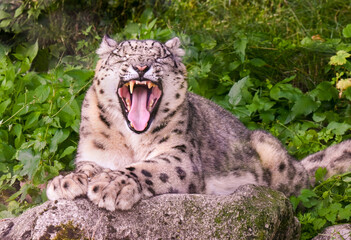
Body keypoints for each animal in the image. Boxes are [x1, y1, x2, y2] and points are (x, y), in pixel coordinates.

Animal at [46, 35, 351, 210]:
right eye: (123, 55)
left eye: (159, 56)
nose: (141, 66)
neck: (132, 139)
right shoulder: (94, 154)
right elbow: (87, 168)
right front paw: (66, 181)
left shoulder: (180, 155)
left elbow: (147, 168)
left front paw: (113, 184)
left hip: (276, 160)